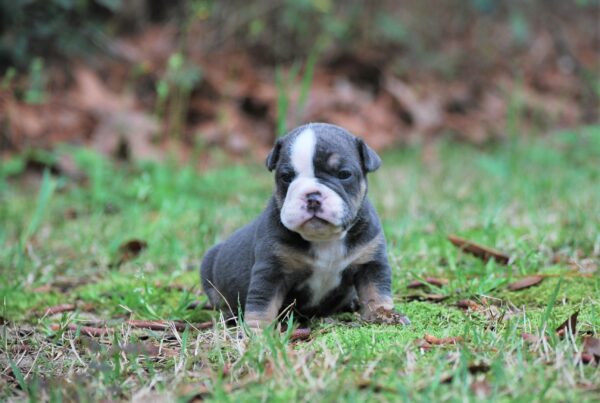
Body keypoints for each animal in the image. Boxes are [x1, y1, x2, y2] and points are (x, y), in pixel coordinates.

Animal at [199, 124, 410, 330]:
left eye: (344, 174)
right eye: (286, 176)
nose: (313, 197)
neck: (324, 238)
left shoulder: (371, 263)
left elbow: (376, 292)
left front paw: (385, 316)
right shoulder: (271, 271)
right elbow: (262, 304)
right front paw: (258, 331)